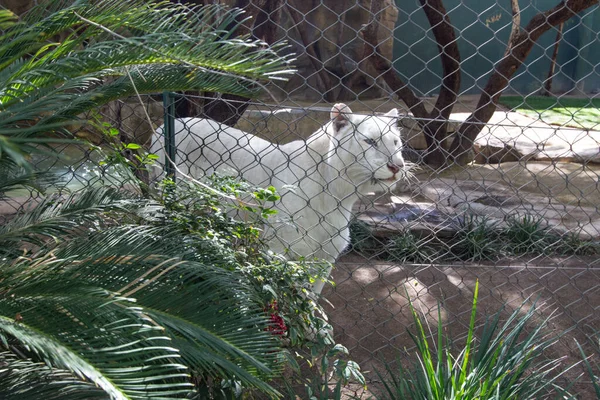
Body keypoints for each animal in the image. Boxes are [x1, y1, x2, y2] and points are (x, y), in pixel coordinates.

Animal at [154, 102, 408, 290]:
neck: (338, 195)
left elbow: (311, 297)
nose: (397, 165)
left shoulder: (325, 256)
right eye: (370, 141)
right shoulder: (280, 248)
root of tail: (167, 124)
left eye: (395, 142)